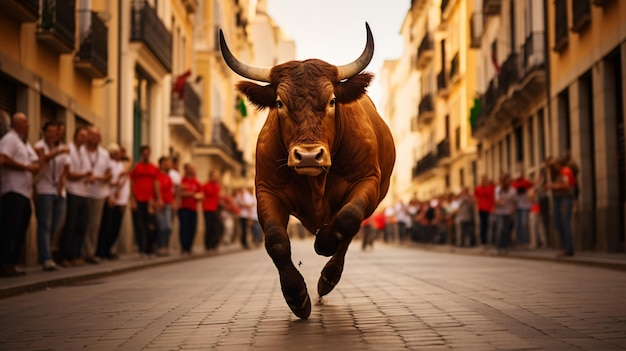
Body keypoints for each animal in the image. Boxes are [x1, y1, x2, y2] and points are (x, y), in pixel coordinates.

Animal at [221, 23, 394, 320]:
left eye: (332, 100)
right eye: (279, 102)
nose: (309, 156)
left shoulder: (367, 180)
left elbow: (347, 220)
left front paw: (323, 242)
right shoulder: (266, 190)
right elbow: (276, 241)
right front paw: (297, 295)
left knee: (350, 232)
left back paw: (327, 278)